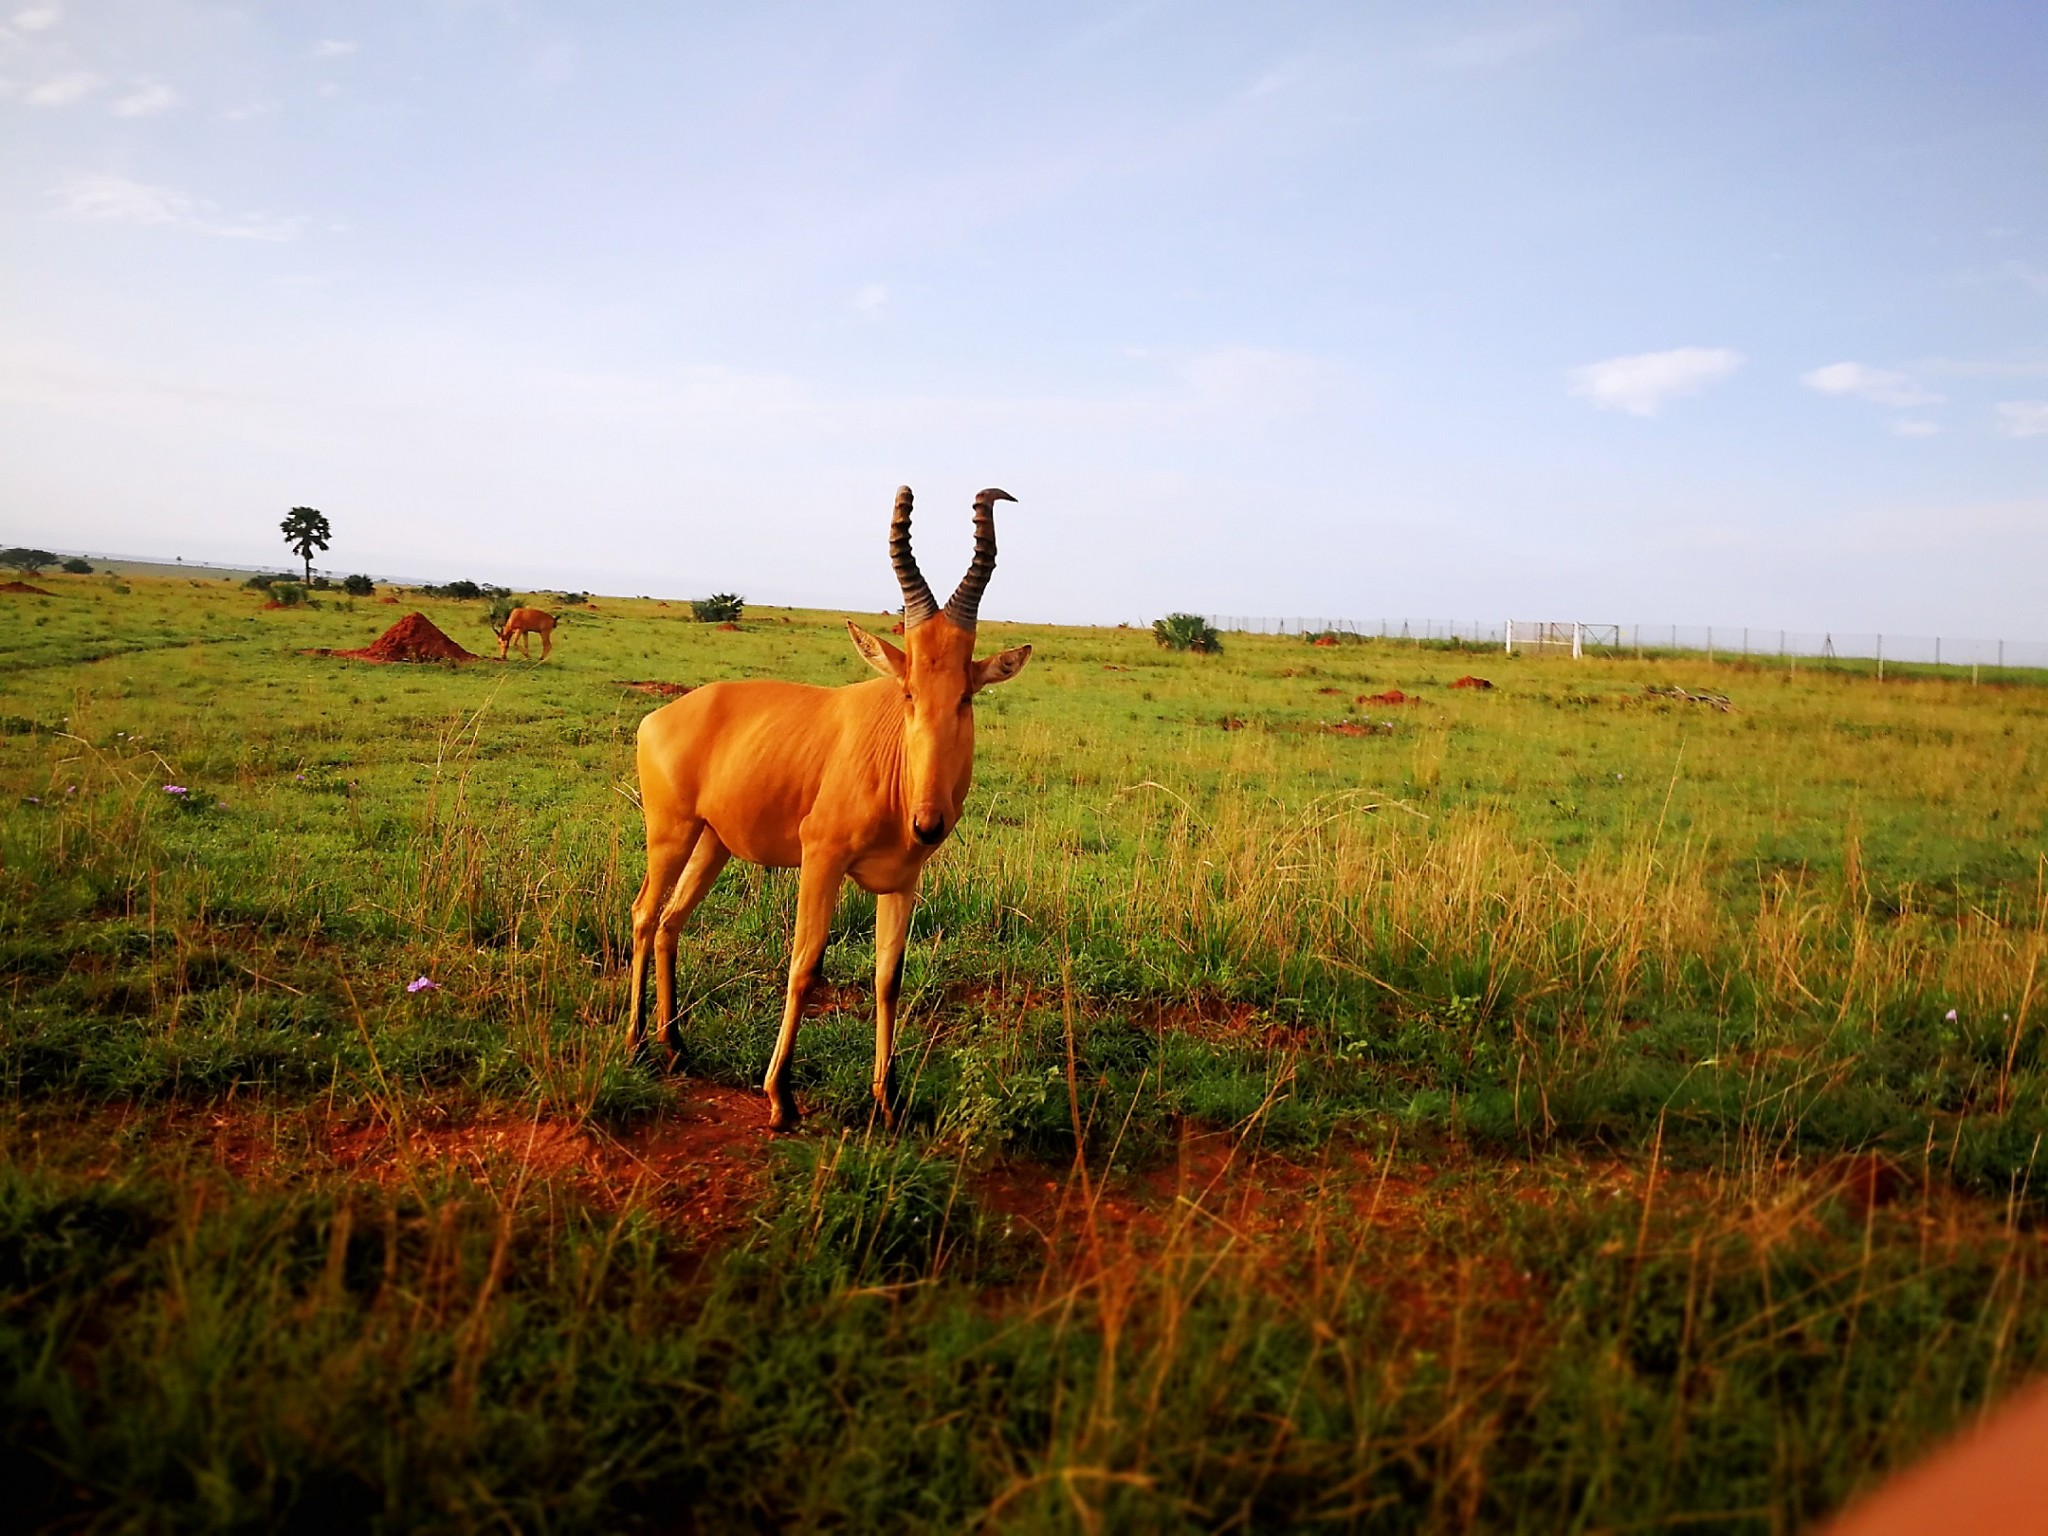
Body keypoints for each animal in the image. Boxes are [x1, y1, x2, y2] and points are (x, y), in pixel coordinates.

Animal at [626, 489, 1040, 1130]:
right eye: (908, 691)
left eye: (966, 697)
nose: (928, 824)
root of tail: (662, 715)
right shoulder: (820, 861)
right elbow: (804, 966)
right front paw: (780, 1098)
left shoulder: (903, 882)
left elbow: (889, 979)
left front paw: (888, 1102)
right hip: (670, 833)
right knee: (644, 914)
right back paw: (636, 1044)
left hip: (713, 843)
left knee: (672, 920)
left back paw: (676, 1048)